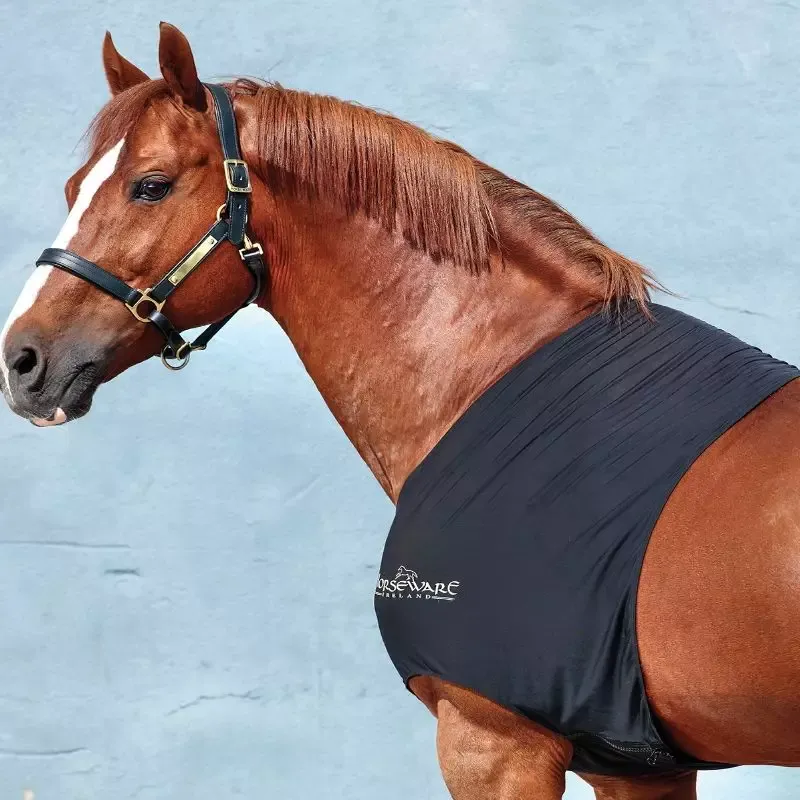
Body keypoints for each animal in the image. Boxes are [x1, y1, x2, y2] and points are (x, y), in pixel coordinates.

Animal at [2, 22, 800, 799]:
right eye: (73, 187)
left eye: (150, 186)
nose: (22, 361)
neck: (482, 370)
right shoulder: (634, 768)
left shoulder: (492, 744)